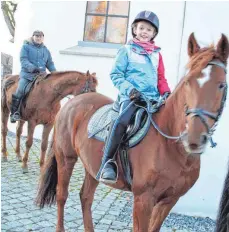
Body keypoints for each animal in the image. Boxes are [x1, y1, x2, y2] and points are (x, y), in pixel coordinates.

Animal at [35, 33, 229, 232]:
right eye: (187, 82)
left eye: (222, 85)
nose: (194, 138)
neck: (171, 147)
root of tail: (74, 101)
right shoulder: (143, 199)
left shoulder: (169, 201)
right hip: (66, 158)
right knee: (62, 195)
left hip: (92, 166)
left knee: (86, 197)